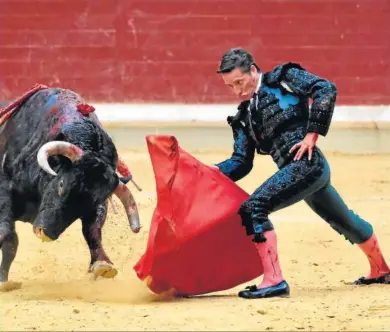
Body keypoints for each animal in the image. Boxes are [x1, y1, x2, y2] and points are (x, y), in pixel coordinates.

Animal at [0, 85, 142, 290]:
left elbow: (92, 230)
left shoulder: (100, 204)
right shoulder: (4, 184)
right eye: (61, 184)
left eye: (89, 202)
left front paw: (102, 264)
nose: (46, 233)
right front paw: (3, 281)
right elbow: (8, 235)